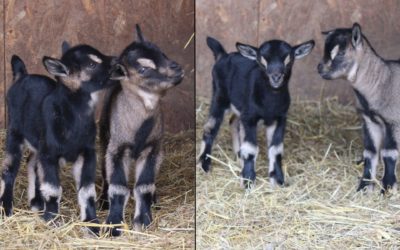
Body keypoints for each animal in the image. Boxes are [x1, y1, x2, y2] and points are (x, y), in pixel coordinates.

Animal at [99, 24, 184, 235]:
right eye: (144, 69)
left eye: (162, 53)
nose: (177, 69)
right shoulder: (117, 149)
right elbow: (118, 187)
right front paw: (113, 225)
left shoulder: (153, 148)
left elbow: (144, 186)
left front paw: (143, 221)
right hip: (104, 138)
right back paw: (103, 201)